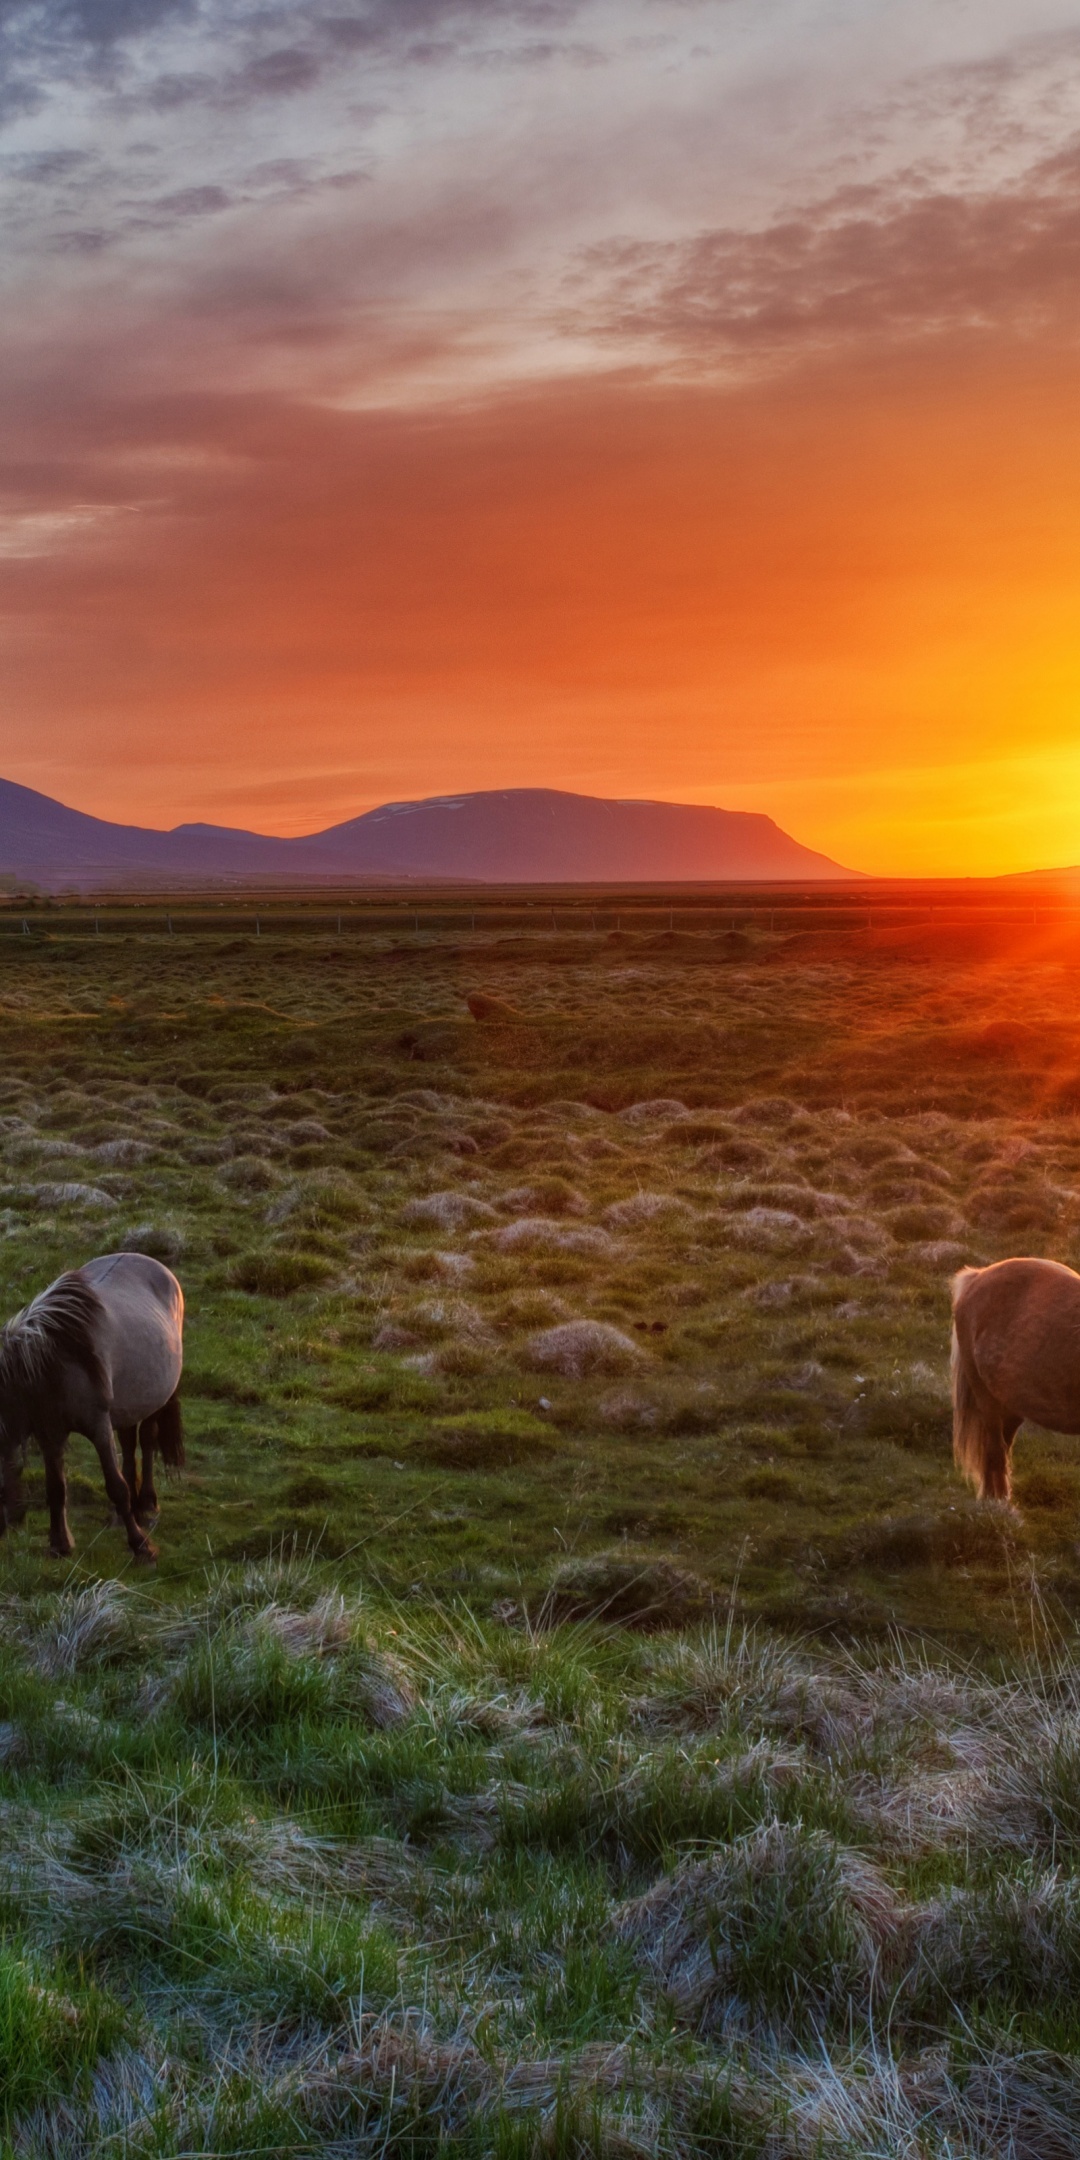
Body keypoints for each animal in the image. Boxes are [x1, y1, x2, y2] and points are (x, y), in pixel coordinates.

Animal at [0, 1252, 184, 1572]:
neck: (54, 1366)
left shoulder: (98, 1426)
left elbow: (116, 1487)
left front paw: (141, 1546)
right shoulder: (50, 1435)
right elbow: (56, 1488)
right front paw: (60, 1545)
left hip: (153, 1400)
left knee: (147, 1441)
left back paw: (147, 1504)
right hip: (128, 1404)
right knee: (129, 1442)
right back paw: (125, 1513)